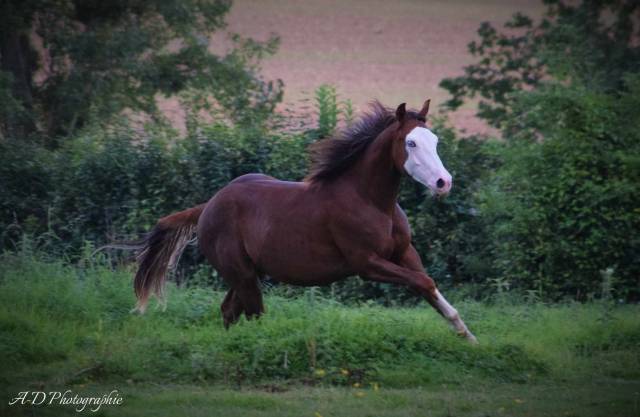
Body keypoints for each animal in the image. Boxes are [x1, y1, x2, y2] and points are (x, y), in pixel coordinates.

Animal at [125, 99, 477, 343]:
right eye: (410, 143)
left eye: (435, 140)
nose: (443, 183)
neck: (373, 202)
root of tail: (209, 205)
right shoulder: (366, 263)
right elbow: (422, 282)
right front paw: (467, 336)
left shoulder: (404, 253)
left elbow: (428, 285)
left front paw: (466, 335)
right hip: (243, 275)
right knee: (252, 314)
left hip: (248, 274)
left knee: (229, 310)